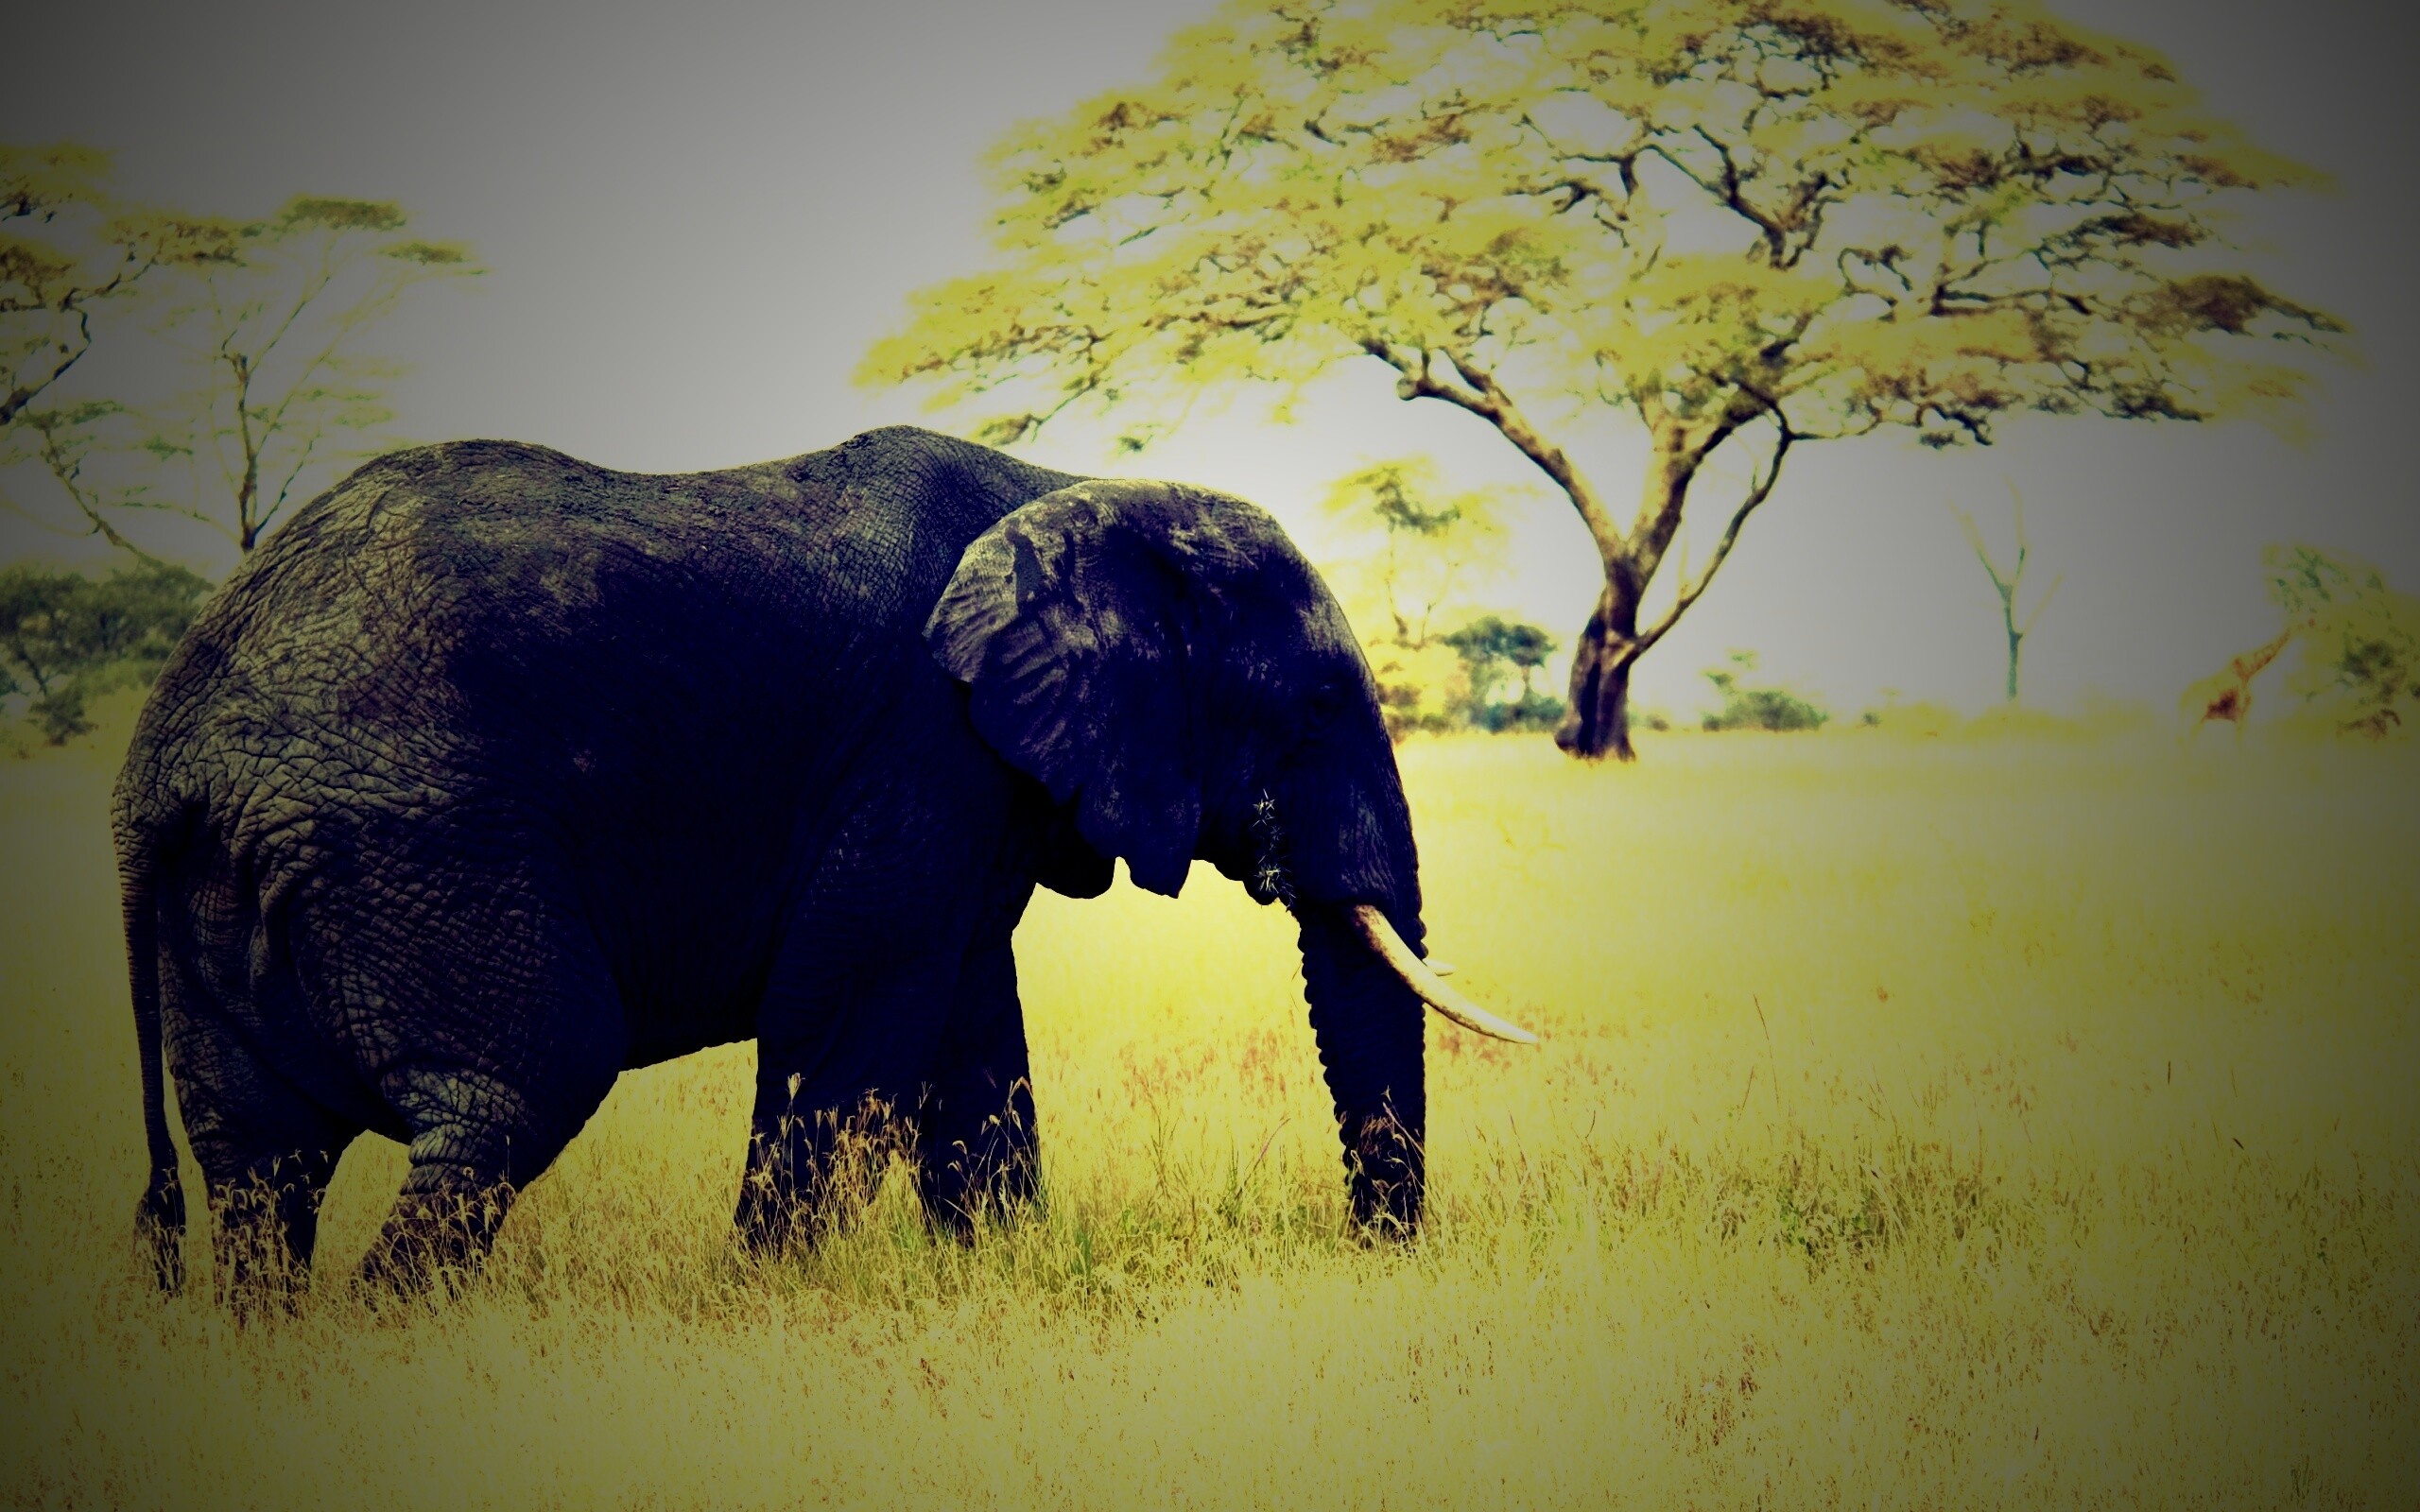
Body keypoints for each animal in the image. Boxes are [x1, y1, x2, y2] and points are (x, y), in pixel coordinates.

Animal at [113, 425, 1533, 1302]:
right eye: (1316, 705)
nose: (1374, 1256)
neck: (1072, 485)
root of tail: (163, 762)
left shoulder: (969, 783)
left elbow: (969, 1034)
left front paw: (996, 1279)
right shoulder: (919, 740)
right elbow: (850, 1020)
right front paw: (768, 1301)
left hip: (247, 882)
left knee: (260, 1162)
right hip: (414, 845)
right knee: (515, 1089)